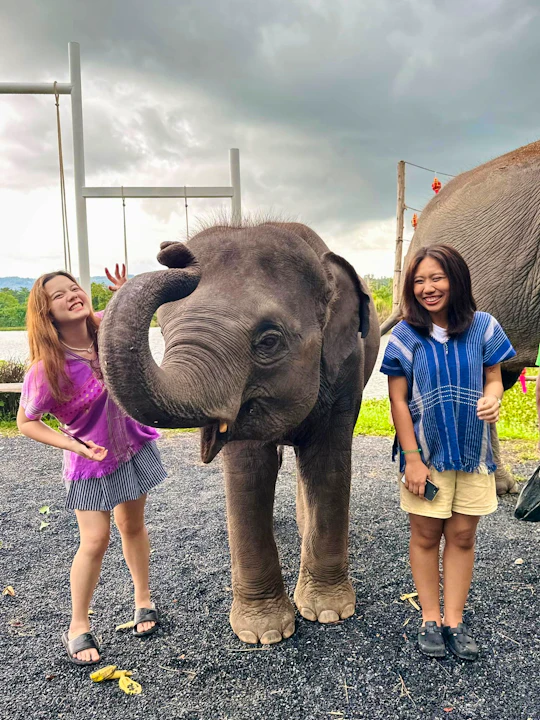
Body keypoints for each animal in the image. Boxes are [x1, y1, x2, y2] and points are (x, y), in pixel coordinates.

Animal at [99, 222, 380, 644]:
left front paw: (330, 613)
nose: (172, 251)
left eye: (269, 340)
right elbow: (250, 472)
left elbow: (328, 464)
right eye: (163, 331)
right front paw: (264, 634)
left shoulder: (347, 370)